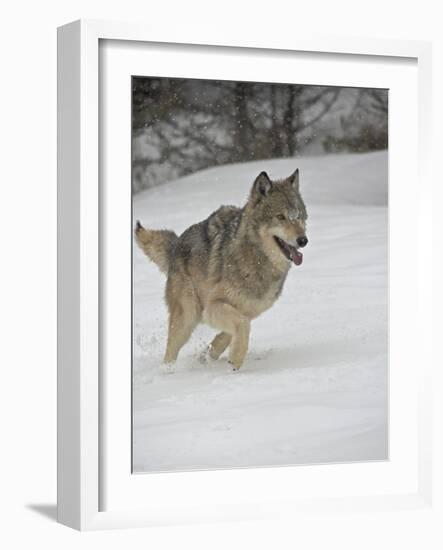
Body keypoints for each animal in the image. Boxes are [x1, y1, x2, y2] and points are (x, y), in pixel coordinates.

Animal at [135, 170, 308, 374]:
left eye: (298, 216)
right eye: (280, 217)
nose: (303, 240)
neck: (256, 258)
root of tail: (177, 244)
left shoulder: (249, 310)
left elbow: (231, 332)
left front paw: (212, 355)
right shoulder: (213, 306)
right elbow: (242, 325)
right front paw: (236, 361)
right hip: (188, 316)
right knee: (170, 351)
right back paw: (168, 371)